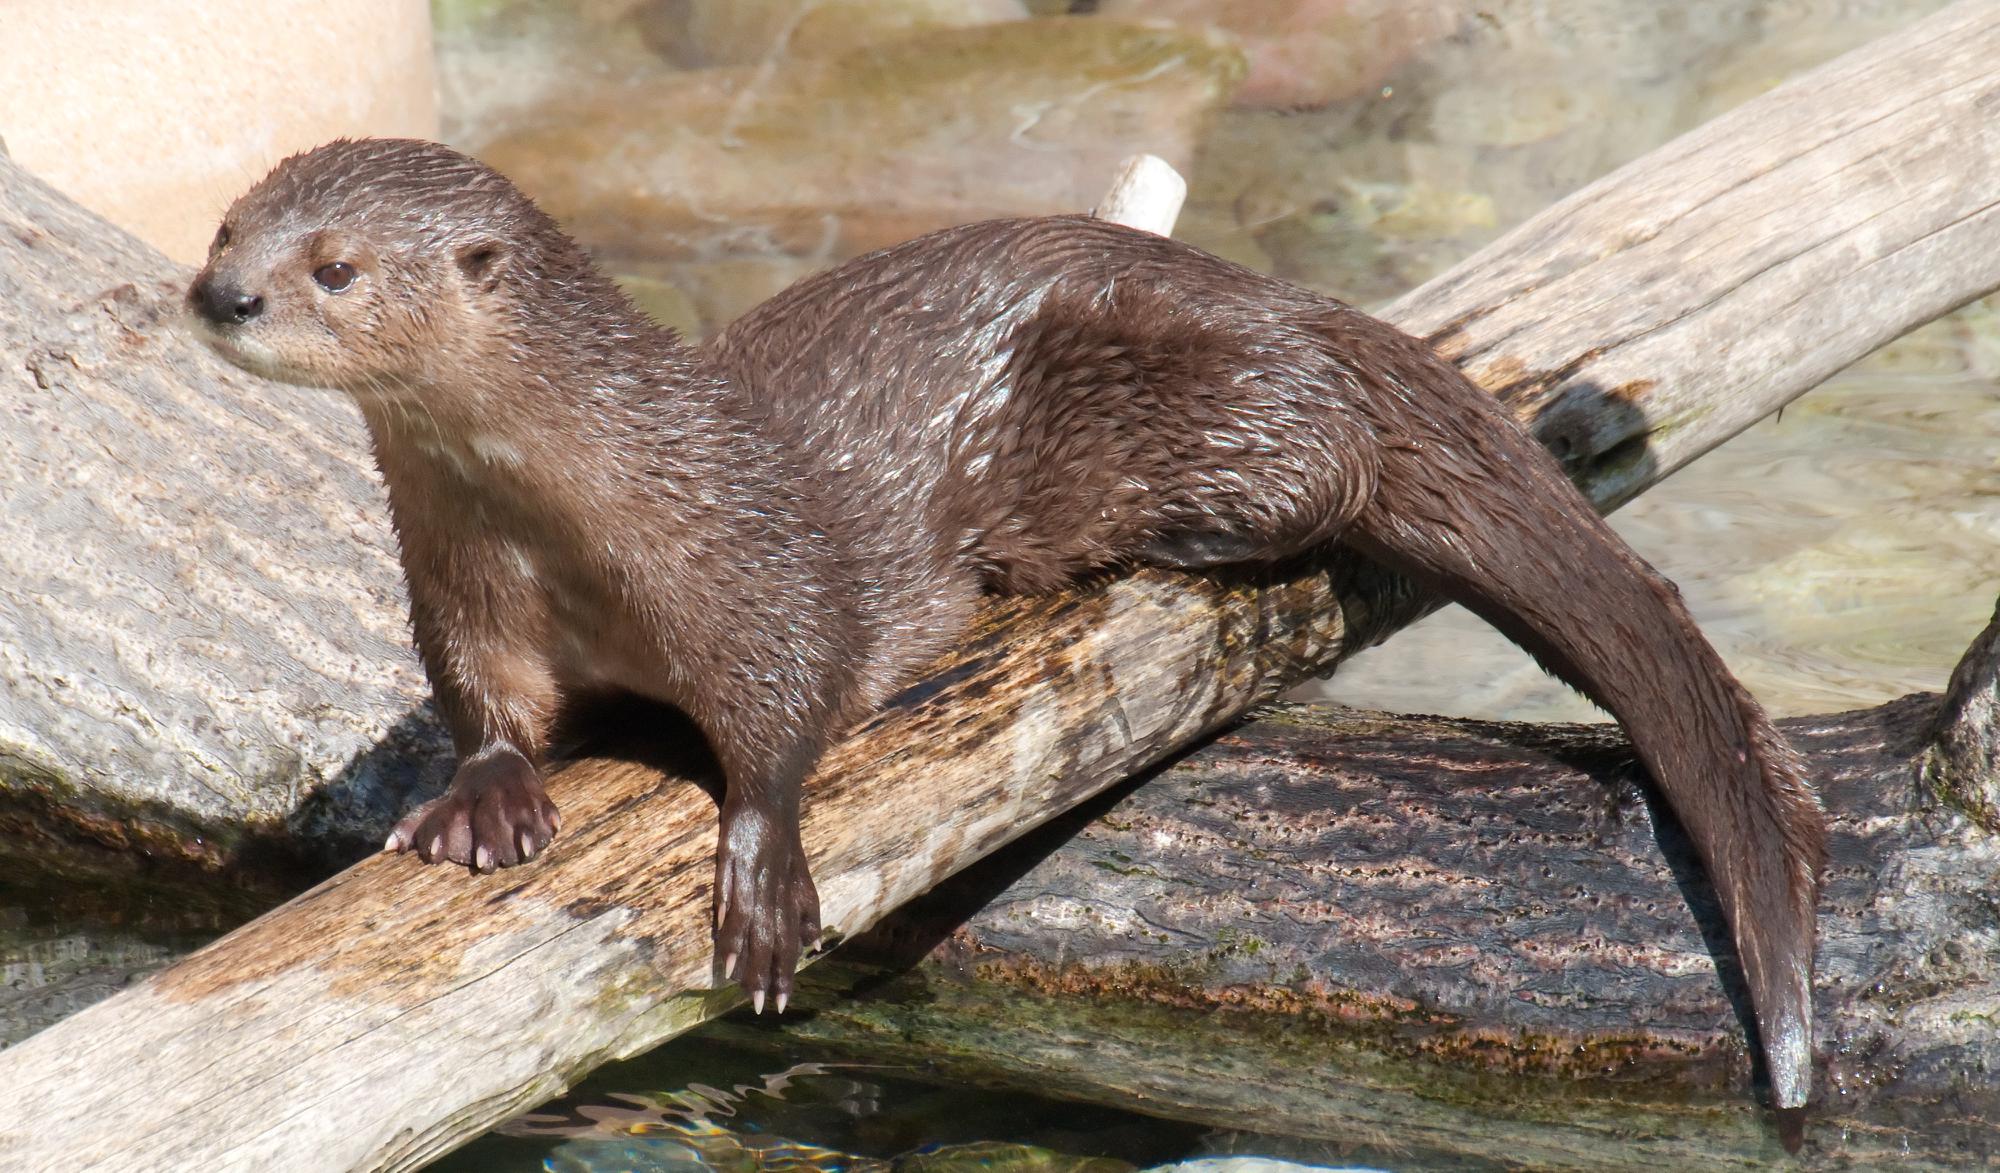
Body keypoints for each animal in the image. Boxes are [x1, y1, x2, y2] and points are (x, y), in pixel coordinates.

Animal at [191, 137, 1832, 1144]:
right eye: (226, 224)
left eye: (334, 263)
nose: (223, 292)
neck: (582, 503)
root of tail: (1267, 294)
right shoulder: (462, 581)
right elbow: (485, 697)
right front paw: (481, 797)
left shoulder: (747, 563)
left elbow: (786, 701)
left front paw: (763, 874)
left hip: (1185, 391)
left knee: (1328, 461)